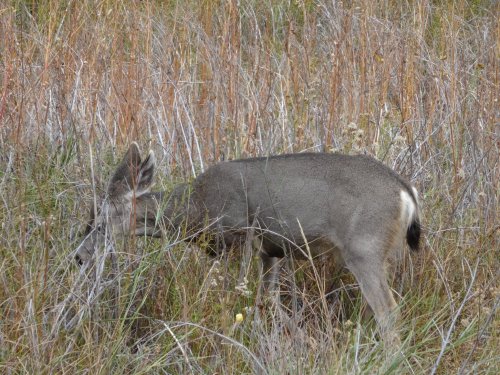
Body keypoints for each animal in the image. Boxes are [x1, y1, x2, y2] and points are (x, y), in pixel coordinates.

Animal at [76, 142, 420, 346]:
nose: (80, 256)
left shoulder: (241, 237)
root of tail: (406, 191)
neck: (197, 208)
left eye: (101, 221)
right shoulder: (271, 250)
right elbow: (268, 301)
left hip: (364, 248)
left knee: (389, 312)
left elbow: (233, 296)